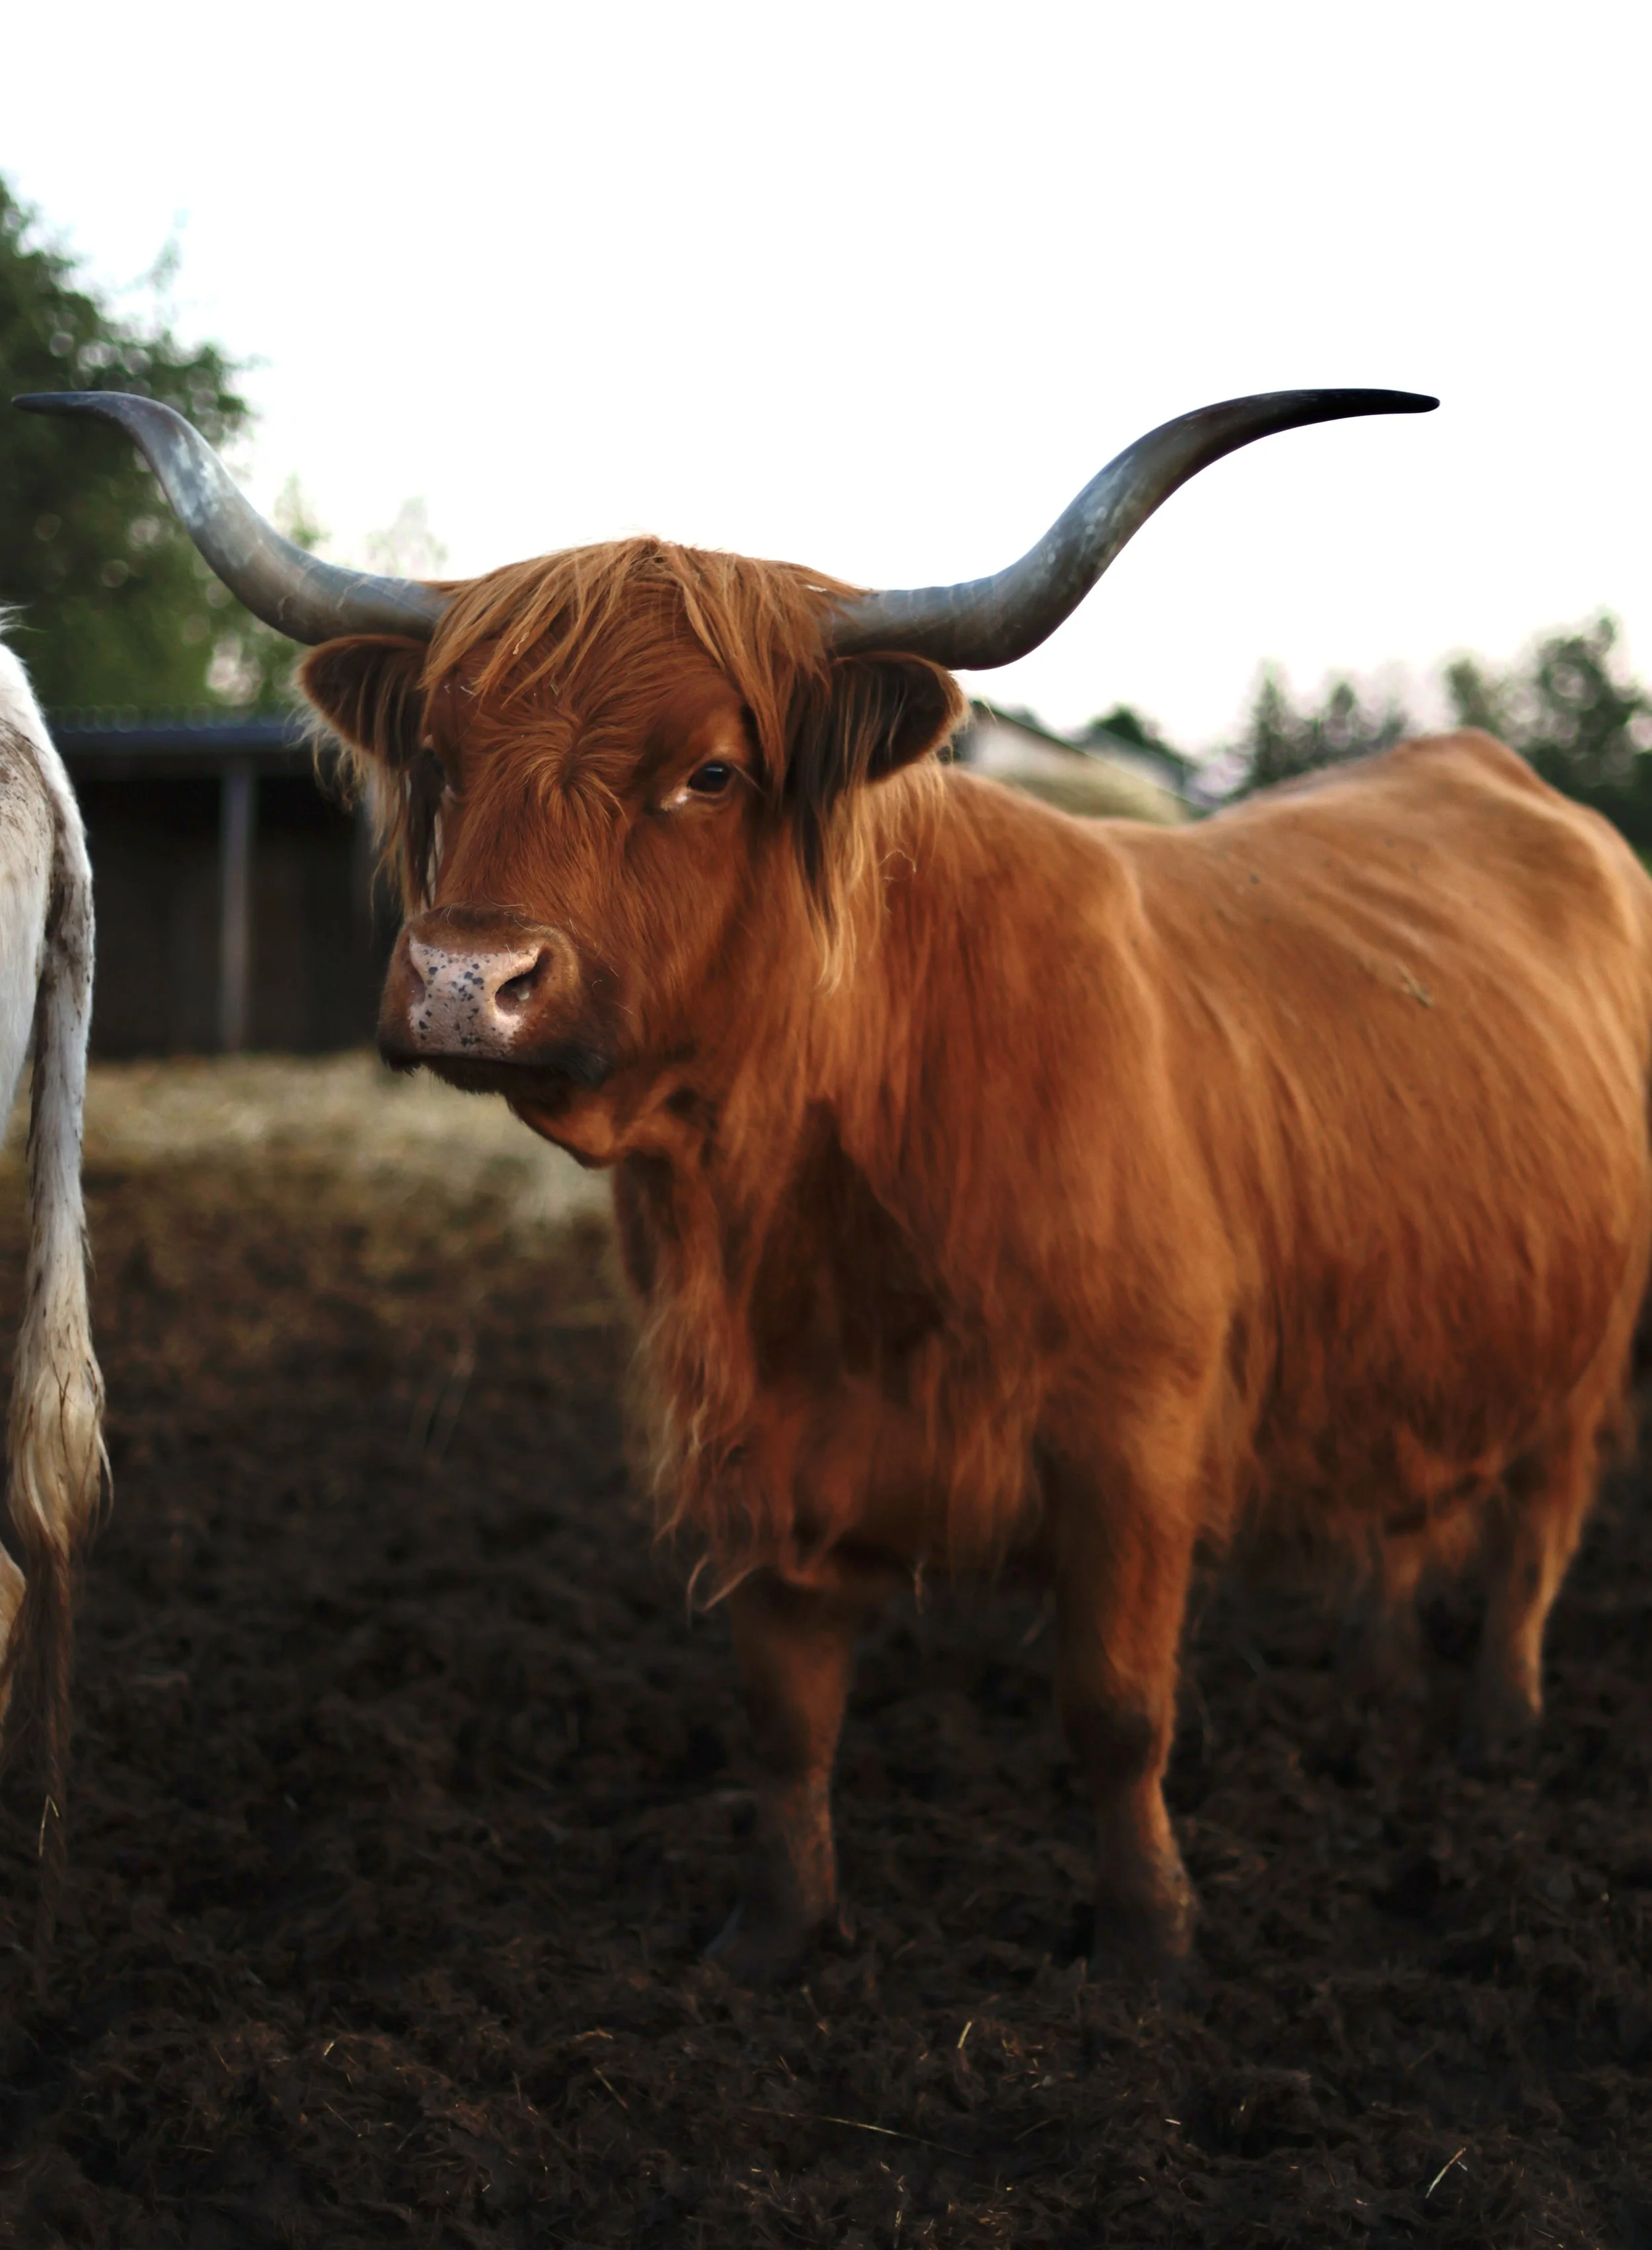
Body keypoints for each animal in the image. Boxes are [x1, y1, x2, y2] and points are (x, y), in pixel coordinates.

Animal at [28, 383, 1651, 1985]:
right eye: (438, 756)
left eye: (709, 771)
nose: (462, 981)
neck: (821, 1208)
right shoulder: (757, 1445)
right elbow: (783, 1715)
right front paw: (772, 1936)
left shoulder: (1133, 1442)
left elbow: (1116, 1709)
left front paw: (1143, 1951)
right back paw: (1373, 1676)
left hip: (1586, 1346)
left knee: (1540, 1523)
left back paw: (1497, 1726)